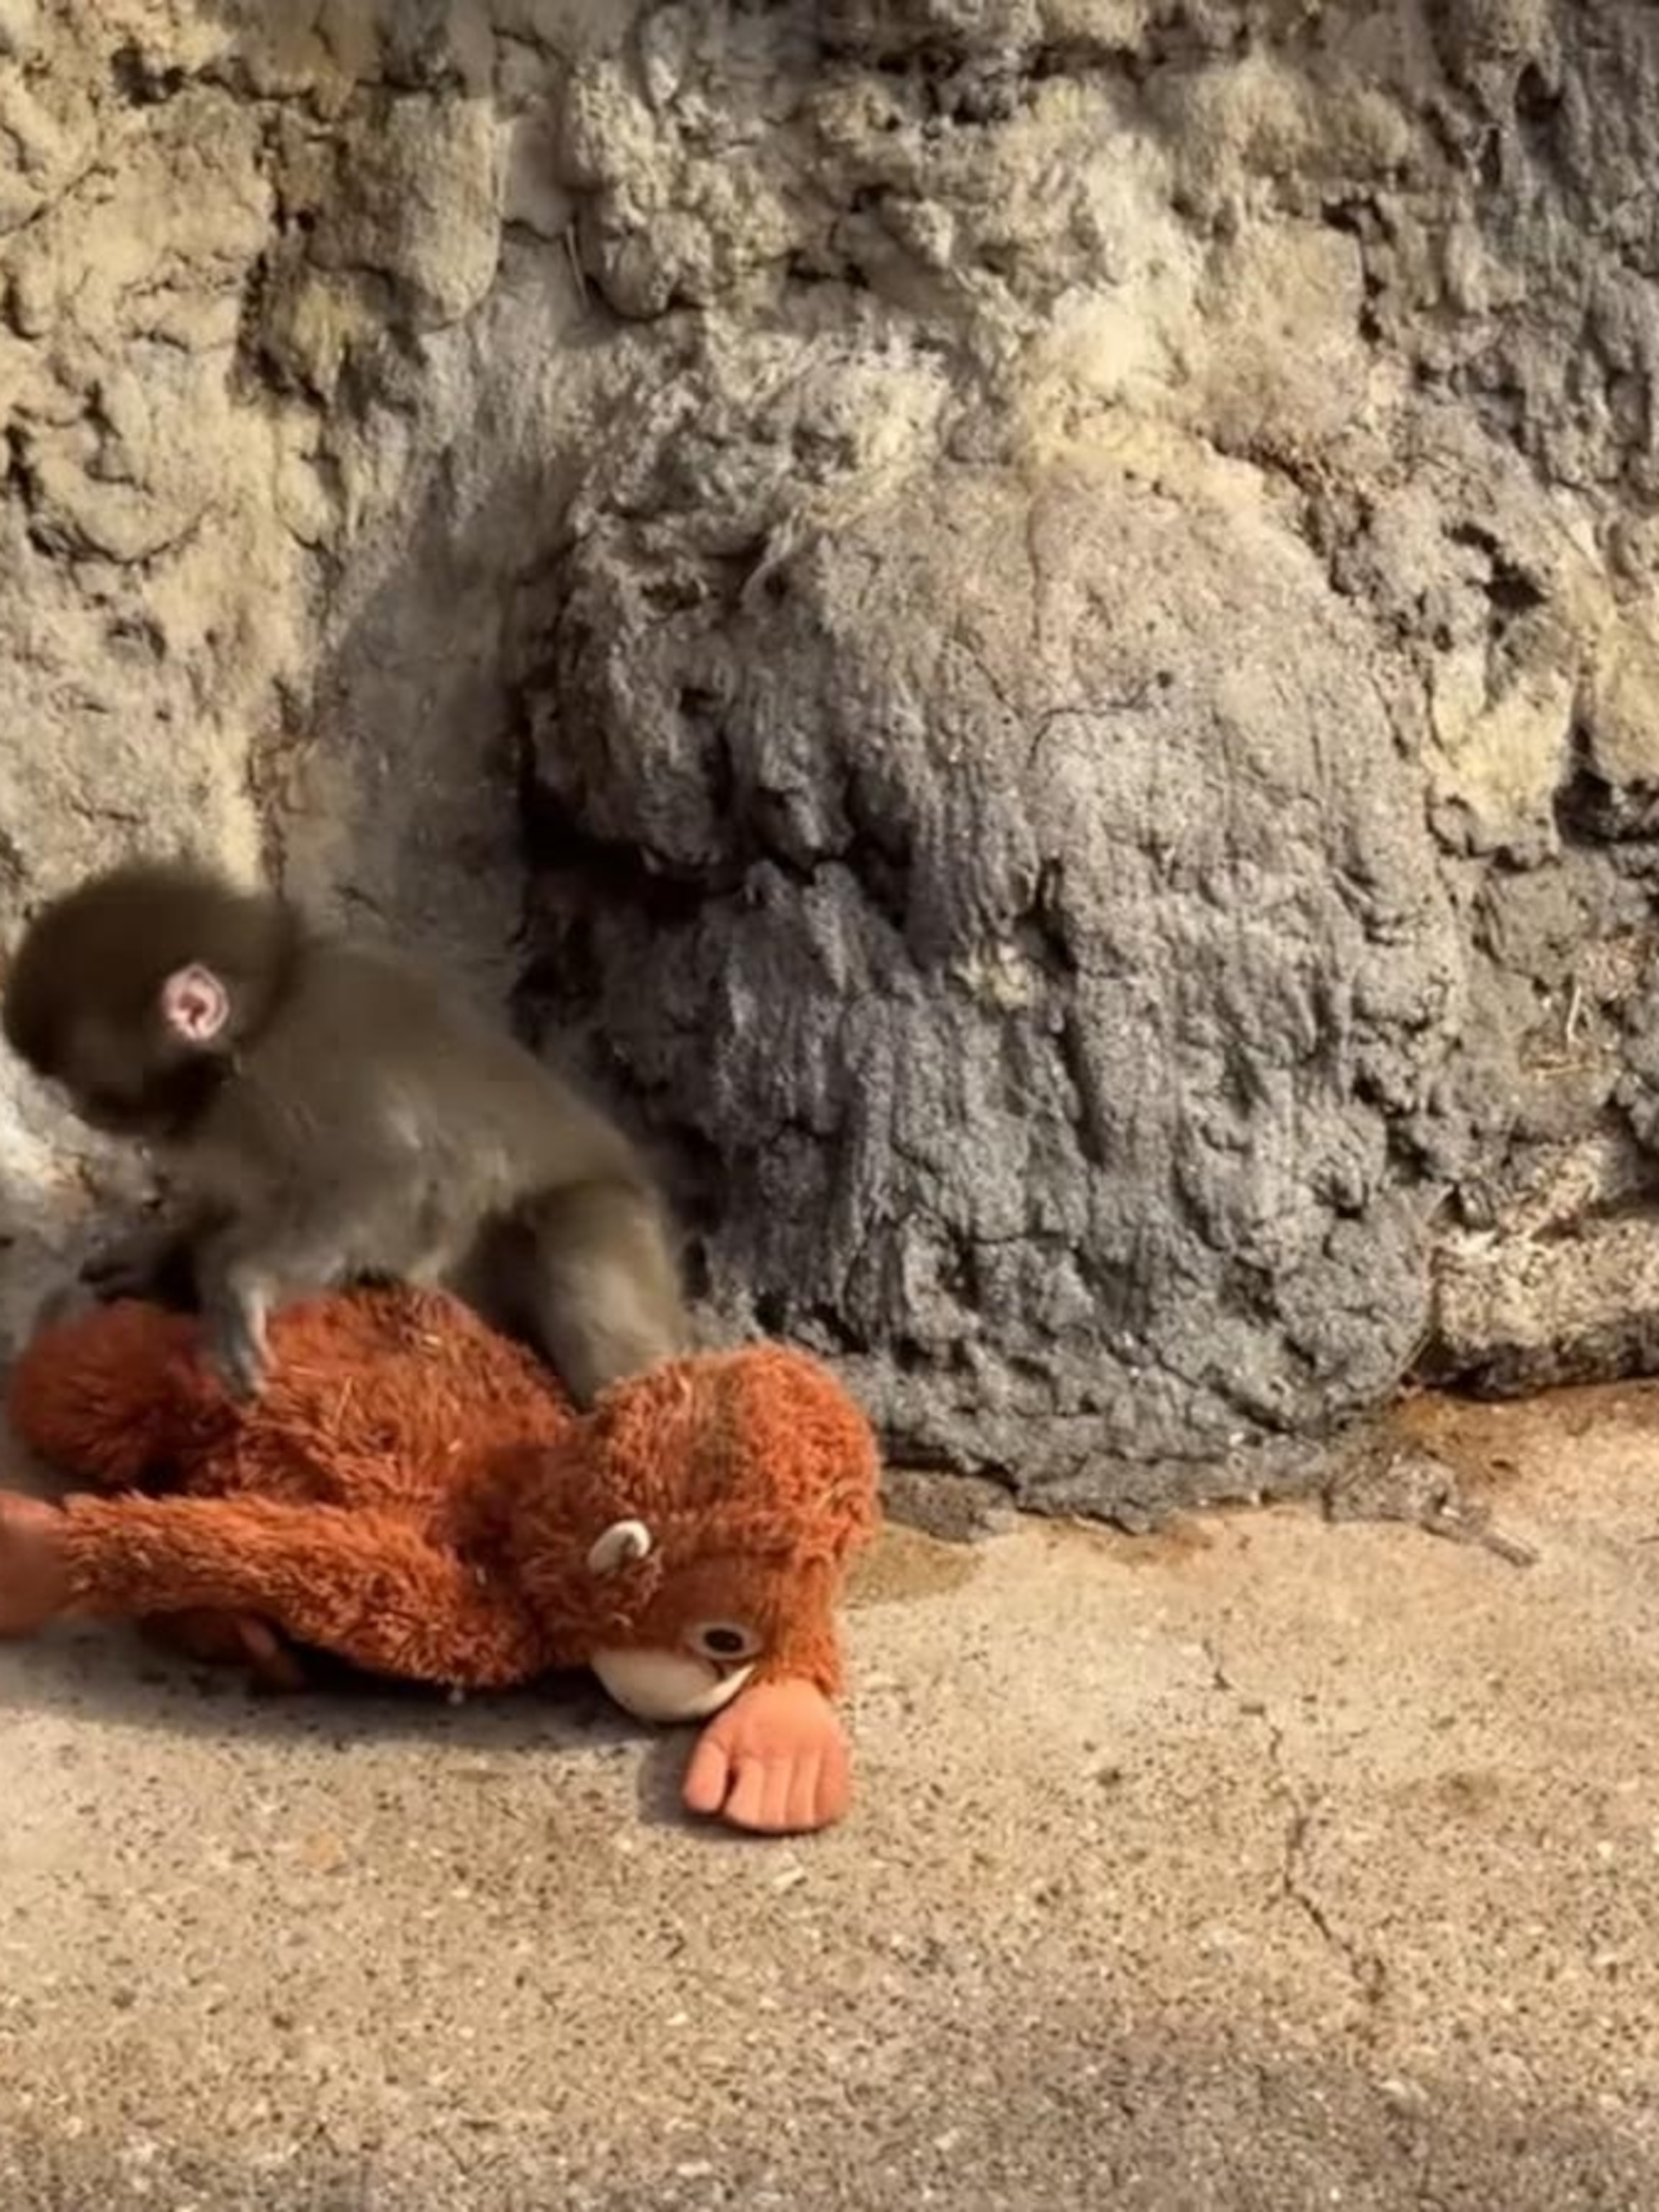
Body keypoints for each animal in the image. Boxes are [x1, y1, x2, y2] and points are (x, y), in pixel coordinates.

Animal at [2, 858, 690, 1409]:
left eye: (87, 1083)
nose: (74, 1105)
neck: (259, 1020)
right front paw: (166, 1253)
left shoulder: (289, 1076)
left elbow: (385, 1181)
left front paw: (239, 1282)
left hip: (611, 1220)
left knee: (575, 1250)